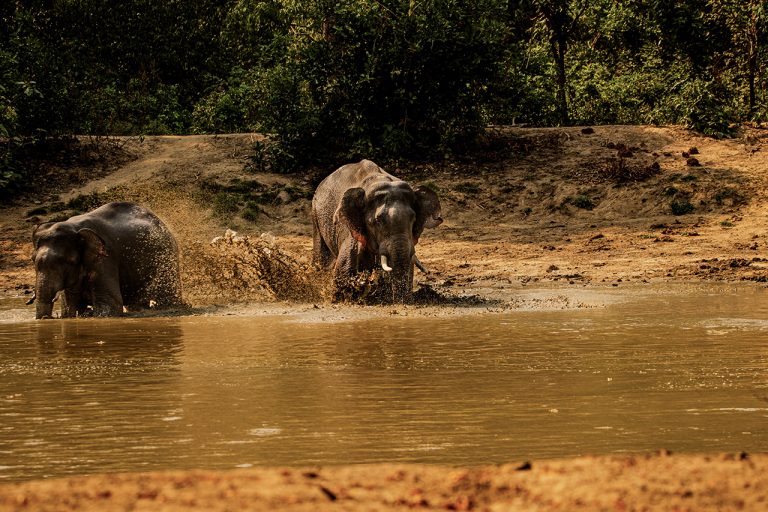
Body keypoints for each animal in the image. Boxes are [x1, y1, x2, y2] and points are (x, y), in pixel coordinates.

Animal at [28, 202, 183, 319]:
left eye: (67, 261)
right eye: (33, 259)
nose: (48, 317)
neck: (74, 228)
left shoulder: (105, 258)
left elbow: (109, 305)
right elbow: (70, 308)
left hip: (167, 258)